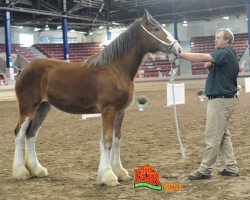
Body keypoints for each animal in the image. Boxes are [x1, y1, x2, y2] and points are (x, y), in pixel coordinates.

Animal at [12, 10, 181, 186]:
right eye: (156, 29)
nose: (178, 49)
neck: (116, 69)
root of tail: (24, 69)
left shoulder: (120, 112)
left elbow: (116, 140)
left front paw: (120, 172)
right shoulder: (108, 110)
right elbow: (106, 140)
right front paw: (108, 176)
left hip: (42, 108)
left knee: (31, 134)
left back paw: (37, 170)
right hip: (27, 108)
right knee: (19, 133)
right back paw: (21, 172)